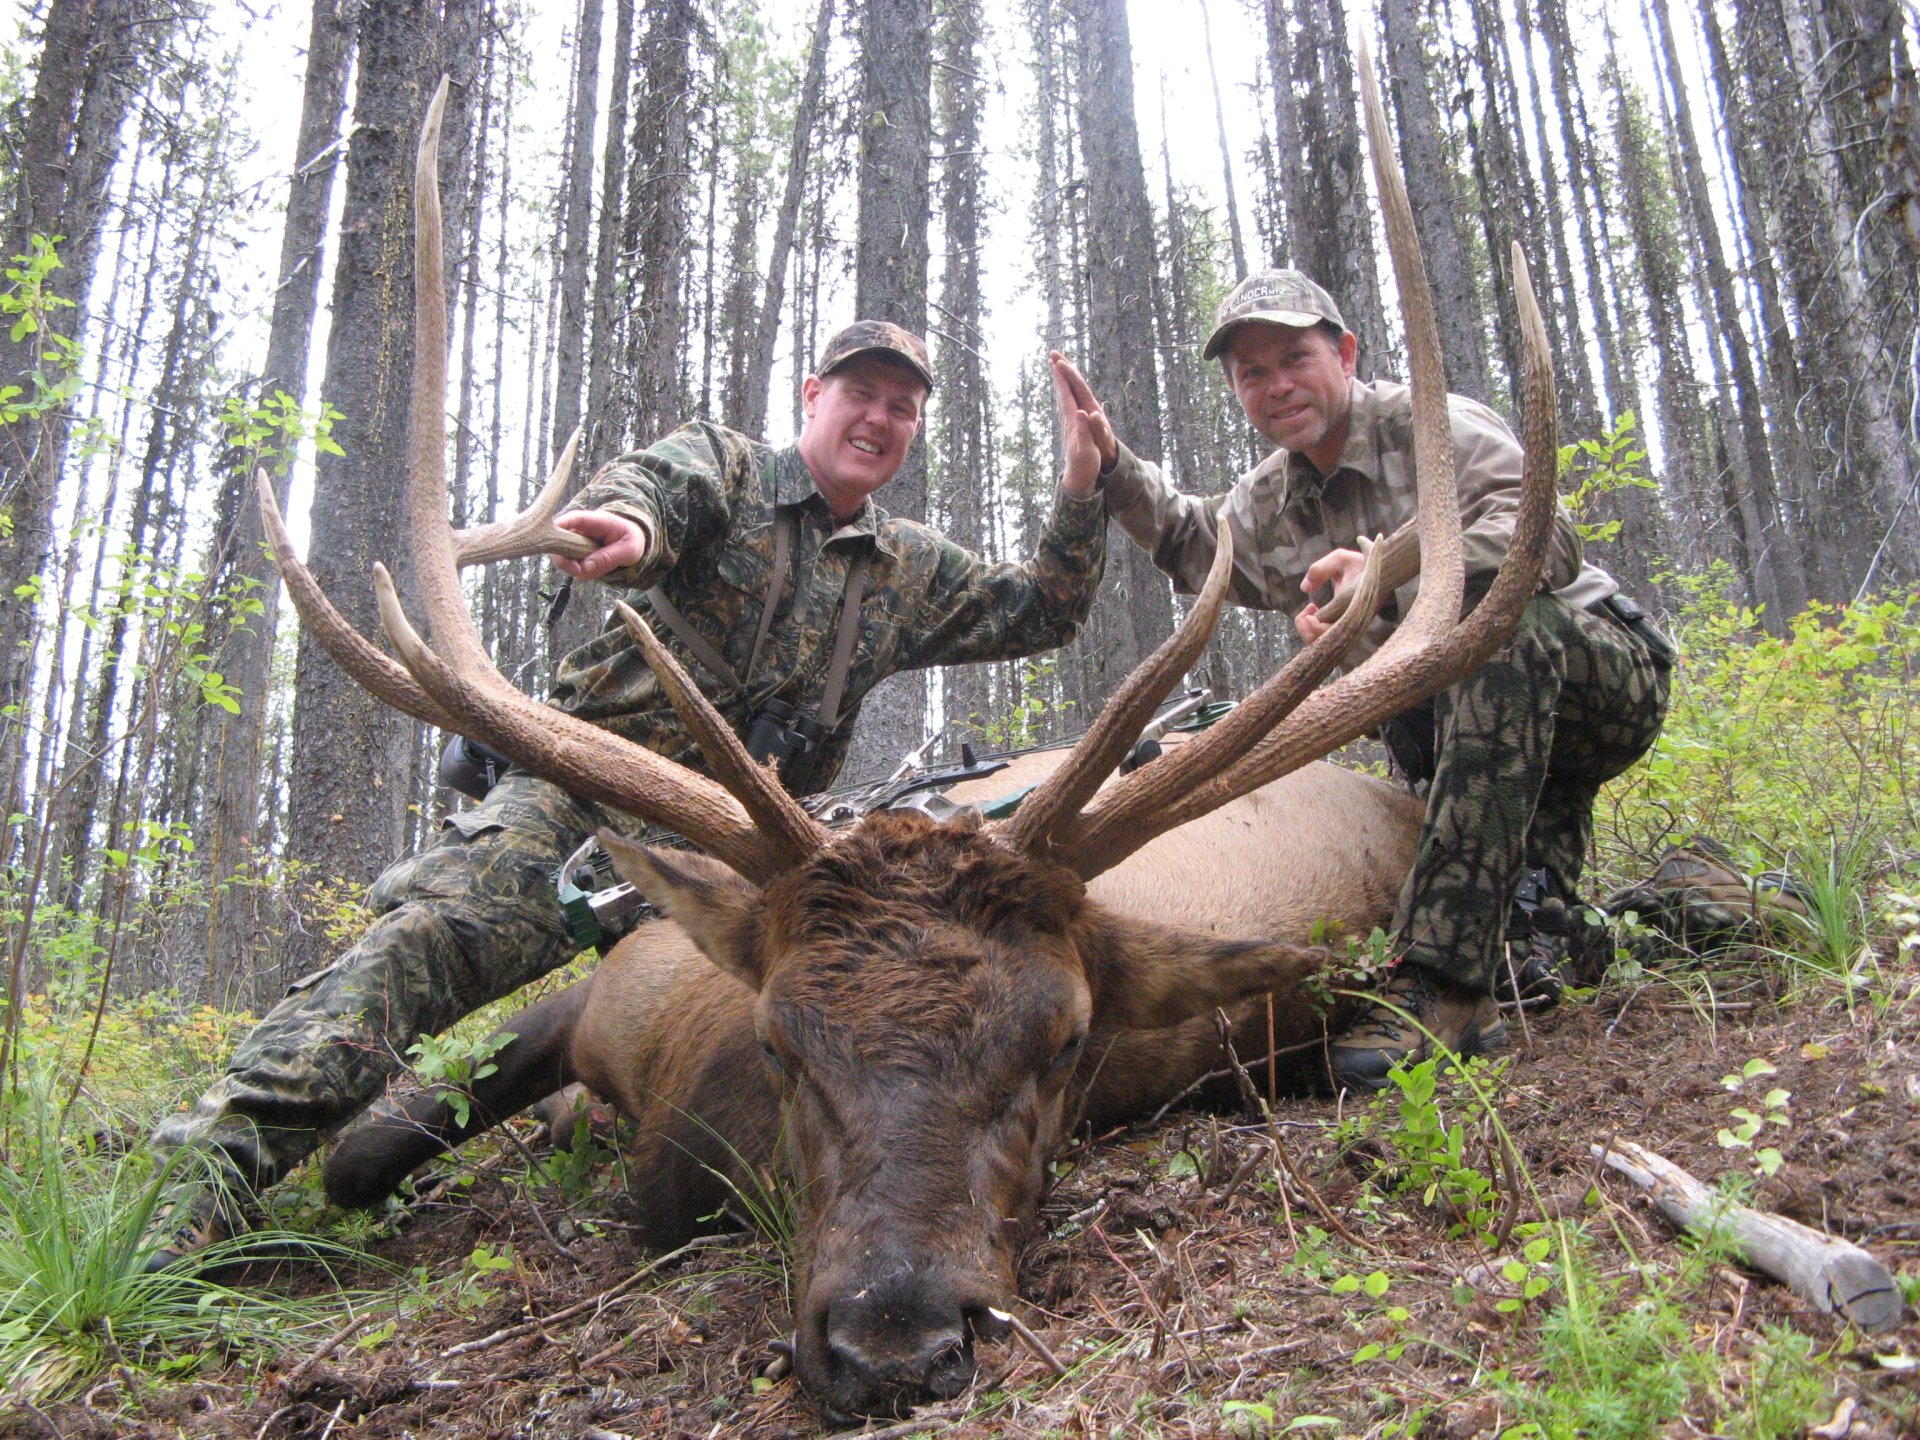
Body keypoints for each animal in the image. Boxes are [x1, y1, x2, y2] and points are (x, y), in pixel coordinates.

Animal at [258, 43, 1558, 1422]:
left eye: (1070, 1040)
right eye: (781, 1035)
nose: (895, 1340)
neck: (680, 1114)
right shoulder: (603, 988)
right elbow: (357, 1155)